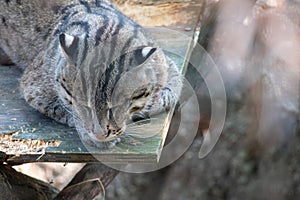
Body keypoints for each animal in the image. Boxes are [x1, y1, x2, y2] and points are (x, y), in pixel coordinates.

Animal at [0, 0, 182, 147]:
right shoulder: (34, 85)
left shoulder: (166, 62)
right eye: (83, 105)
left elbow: (174, 87)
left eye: (116, 107)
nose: (100, 135)